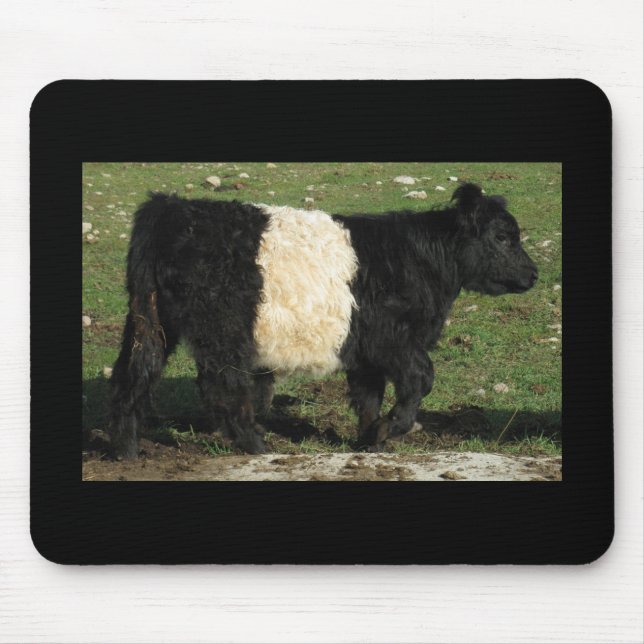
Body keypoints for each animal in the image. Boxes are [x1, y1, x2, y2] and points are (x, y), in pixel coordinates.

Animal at [108, 183, 538, 458]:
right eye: (503, 237)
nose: (533, 274)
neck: (421, 259)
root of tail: (169, 207)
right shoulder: (393, 338)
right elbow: (420, 379)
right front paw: (390, 429)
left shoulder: (365, 351)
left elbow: (368, 396)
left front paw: (370, 440)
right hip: (225, 332)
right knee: (223, 386)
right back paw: (257, 446)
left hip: (151, 322)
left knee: (135, 374)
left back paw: (128, 451)